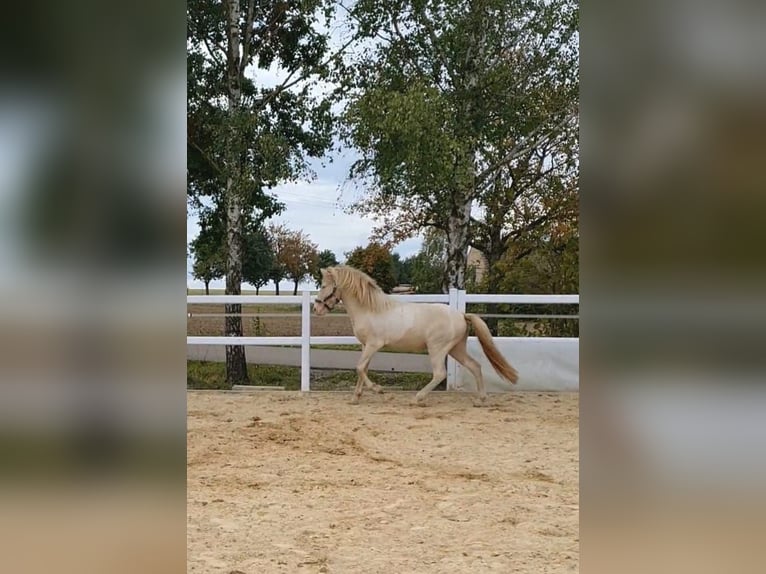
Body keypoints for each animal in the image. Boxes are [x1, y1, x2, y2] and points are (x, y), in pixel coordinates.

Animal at [314, 266, 520, 408]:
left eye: (323, 285)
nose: (316, 308)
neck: (370, 310)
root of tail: (461, 315)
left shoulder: (374, 344)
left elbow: (359, 368)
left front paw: (380, 391)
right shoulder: (366, 346)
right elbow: (362, 369)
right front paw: (355, 398)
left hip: (437, 349)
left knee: (440, 373)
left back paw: (417, 398)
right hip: (456, 349)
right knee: (475, 366)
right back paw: (480, 400)